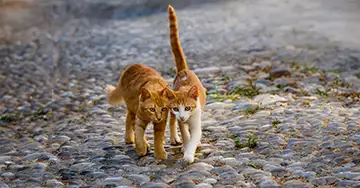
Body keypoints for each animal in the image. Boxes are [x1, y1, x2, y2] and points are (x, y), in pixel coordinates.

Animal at [167, 5, 207, 163]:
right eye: (176, 108)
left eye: (188, 107)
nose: (183, 117)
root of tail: (184, 70)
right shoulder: (178, 117)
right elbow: (185, 134)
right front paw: (185, 146)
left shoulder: (196, 118)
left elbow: (195, 134)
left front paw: (189, 153)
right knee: (172, 121)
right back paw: (175, 138)